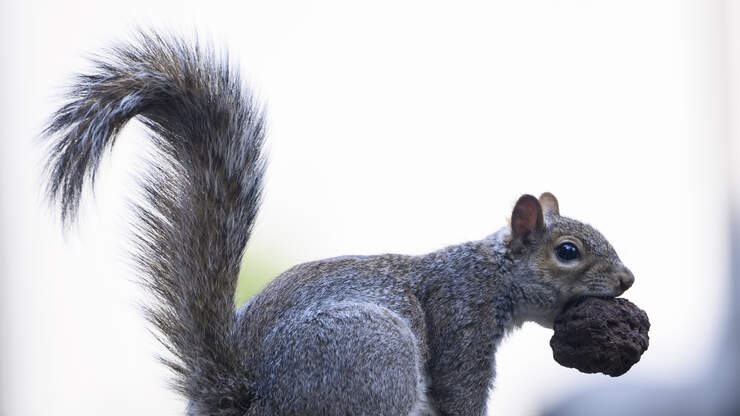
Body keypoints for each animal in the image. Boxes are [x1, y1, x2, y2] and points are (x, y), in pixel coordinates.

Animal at [43, 31, 635, 416]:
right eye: (567, 251)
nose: (627, 280)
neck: (491, 271)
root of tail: (248, 398)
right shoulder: (460, 318)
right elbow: (458, 392)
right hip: (373, 353)